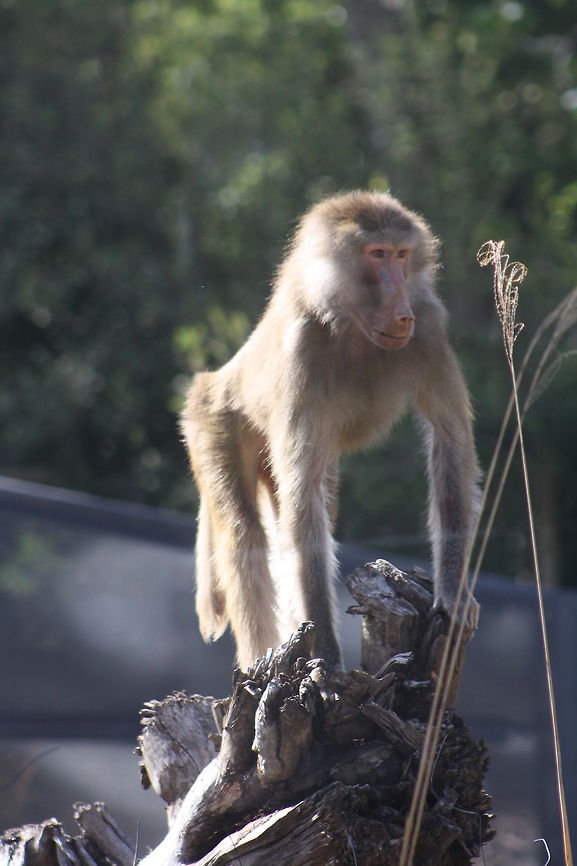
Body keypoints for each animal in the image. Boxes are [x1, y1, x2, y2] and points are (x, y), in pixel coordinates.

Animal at [181, 190, 480, 672]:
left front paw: (453, 594)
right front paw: (325, 656)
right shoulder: (302, 347)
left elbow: (449, 437)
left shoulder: (429, 324)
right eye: (377, 255)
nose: (402, 314)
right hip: (212, 421)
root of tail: (212, 381)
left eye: (401, 254)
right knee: (248, 535)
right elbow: (303, 498)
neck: (353, 323)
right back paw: (261, 659)